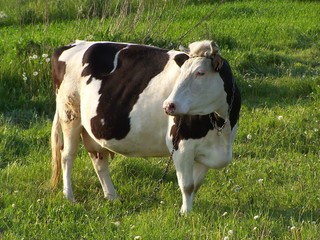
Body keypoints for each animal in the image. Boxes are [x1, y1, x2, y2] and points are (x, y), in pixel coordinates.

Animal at [50, 39, 240, 214]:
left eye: (200, 73)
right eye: (181, 73)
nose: (169, 105)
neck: (222, 125)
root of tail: (73, 44)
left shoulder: (208, 150)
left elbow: (197, 184)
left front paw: (189, 211)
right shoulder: (181, 145)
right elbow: (187, 185)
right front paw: (186, 214)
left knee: (99, 160)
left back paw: (112, 197)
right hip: (70, 115)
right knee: (67, 155)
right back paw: (69, 196)